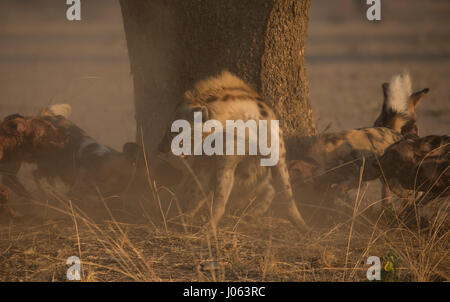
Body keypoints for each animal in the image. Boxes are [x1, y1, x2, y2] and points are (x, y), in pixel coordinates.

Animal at [158, 71, 310, 234]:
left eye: (174, 130)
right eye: (167, 128)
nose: (160, 148)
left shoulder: (276, 152)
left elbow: (287, 192)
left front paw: (303, 225)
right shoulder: (218, 161)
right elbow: (210, 194)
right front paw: (201, 223)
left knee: (269, 190)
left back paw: (250, 216)